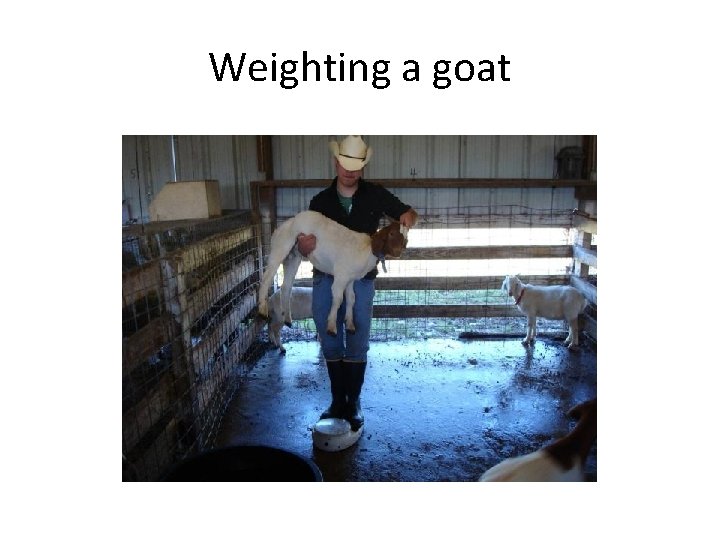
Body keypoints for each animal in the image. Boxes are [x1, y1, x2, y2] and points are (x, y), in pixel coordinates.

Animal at [257, 210, 411, 336]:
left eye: (405, 235)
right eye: (391, 233)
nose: (399, 252)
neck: (367, 250)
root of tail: (289, 222)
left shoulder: (350, 279)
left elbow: (351, 298)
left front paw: (350, 325)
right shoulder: (341, 276)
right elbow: (338, 299)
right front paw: (331, 327)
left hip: (294, 256)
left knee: (286, 286)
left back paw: (288, 319)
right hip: (281, 246)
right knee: (266, 277)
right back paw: (262, 310)